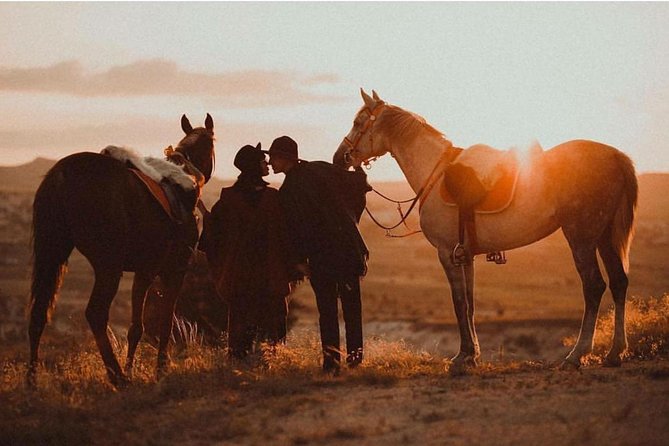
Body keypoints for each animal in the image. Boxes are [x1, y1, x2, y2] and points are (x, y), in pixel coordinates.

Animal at [29, 113, 214, 386]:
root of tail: (60, 176)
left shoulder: (145, 271)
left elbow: (136, 328)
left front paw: (135, 367)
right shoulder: (170, 270)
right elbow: (162, 322)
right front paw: (159, 369)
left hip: (52, 255)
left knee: (38, 313)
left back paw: (31, 381)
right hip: (109, 266)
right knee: (95, 313)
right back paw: (117, 377)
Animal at [334, 89, 636, 372]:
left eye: (358, 122)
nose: (339, 158)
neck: (434, 174)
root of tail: (616, 156)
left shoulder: (447, 253)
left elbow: (458, 303)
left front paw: (462, 357)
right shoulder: (465, 255)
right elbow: (469, 304)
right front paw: (472, 355)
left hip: (581, 237)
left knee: (594, 286)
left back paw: (576, 355)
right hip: (604, 237)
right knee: (619, 282)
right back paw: (615, 353)